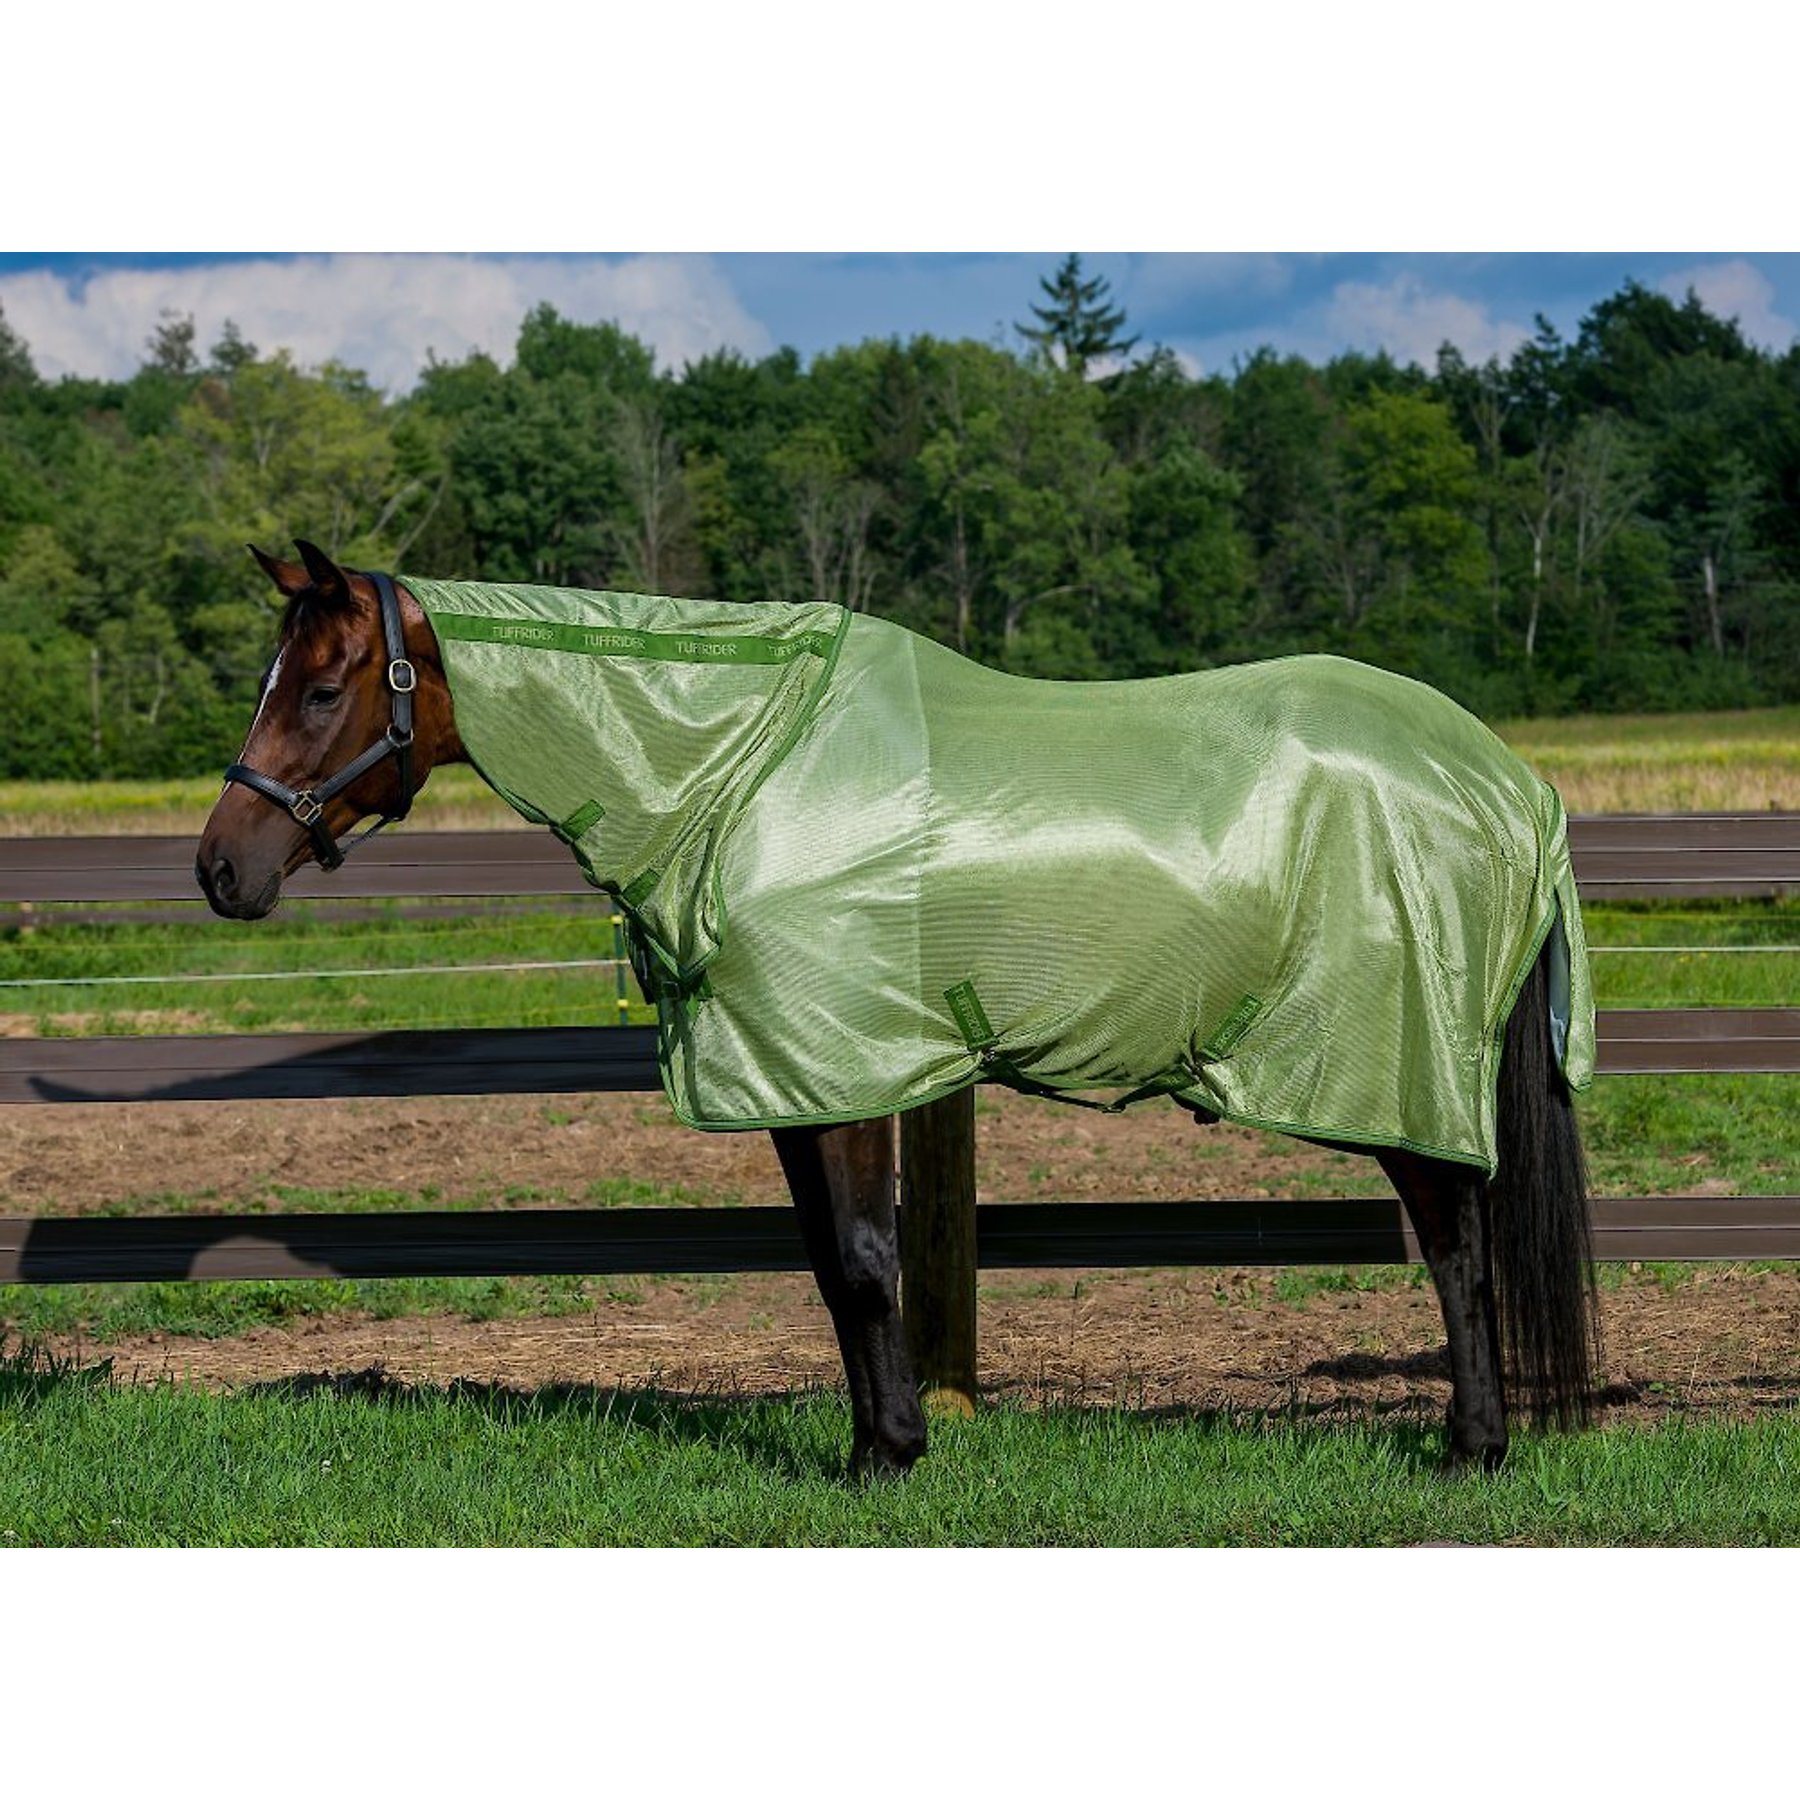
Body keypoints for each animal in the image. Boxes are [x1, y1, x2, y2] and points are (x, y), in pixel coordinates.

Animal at [197, 539, 1601, 1478]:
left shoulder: (841, 1061)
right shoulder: (801, 1075)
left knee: (1459, 1243)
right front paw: (884, 1440)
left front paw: (887, 1458)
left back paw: (1474, 1449)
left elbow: (869, 1263)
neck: (743, 767)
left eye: (318, 688)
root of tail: (1509, 780)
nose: (221, 869)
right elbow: (833, 1268)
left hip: (1397, 1062)